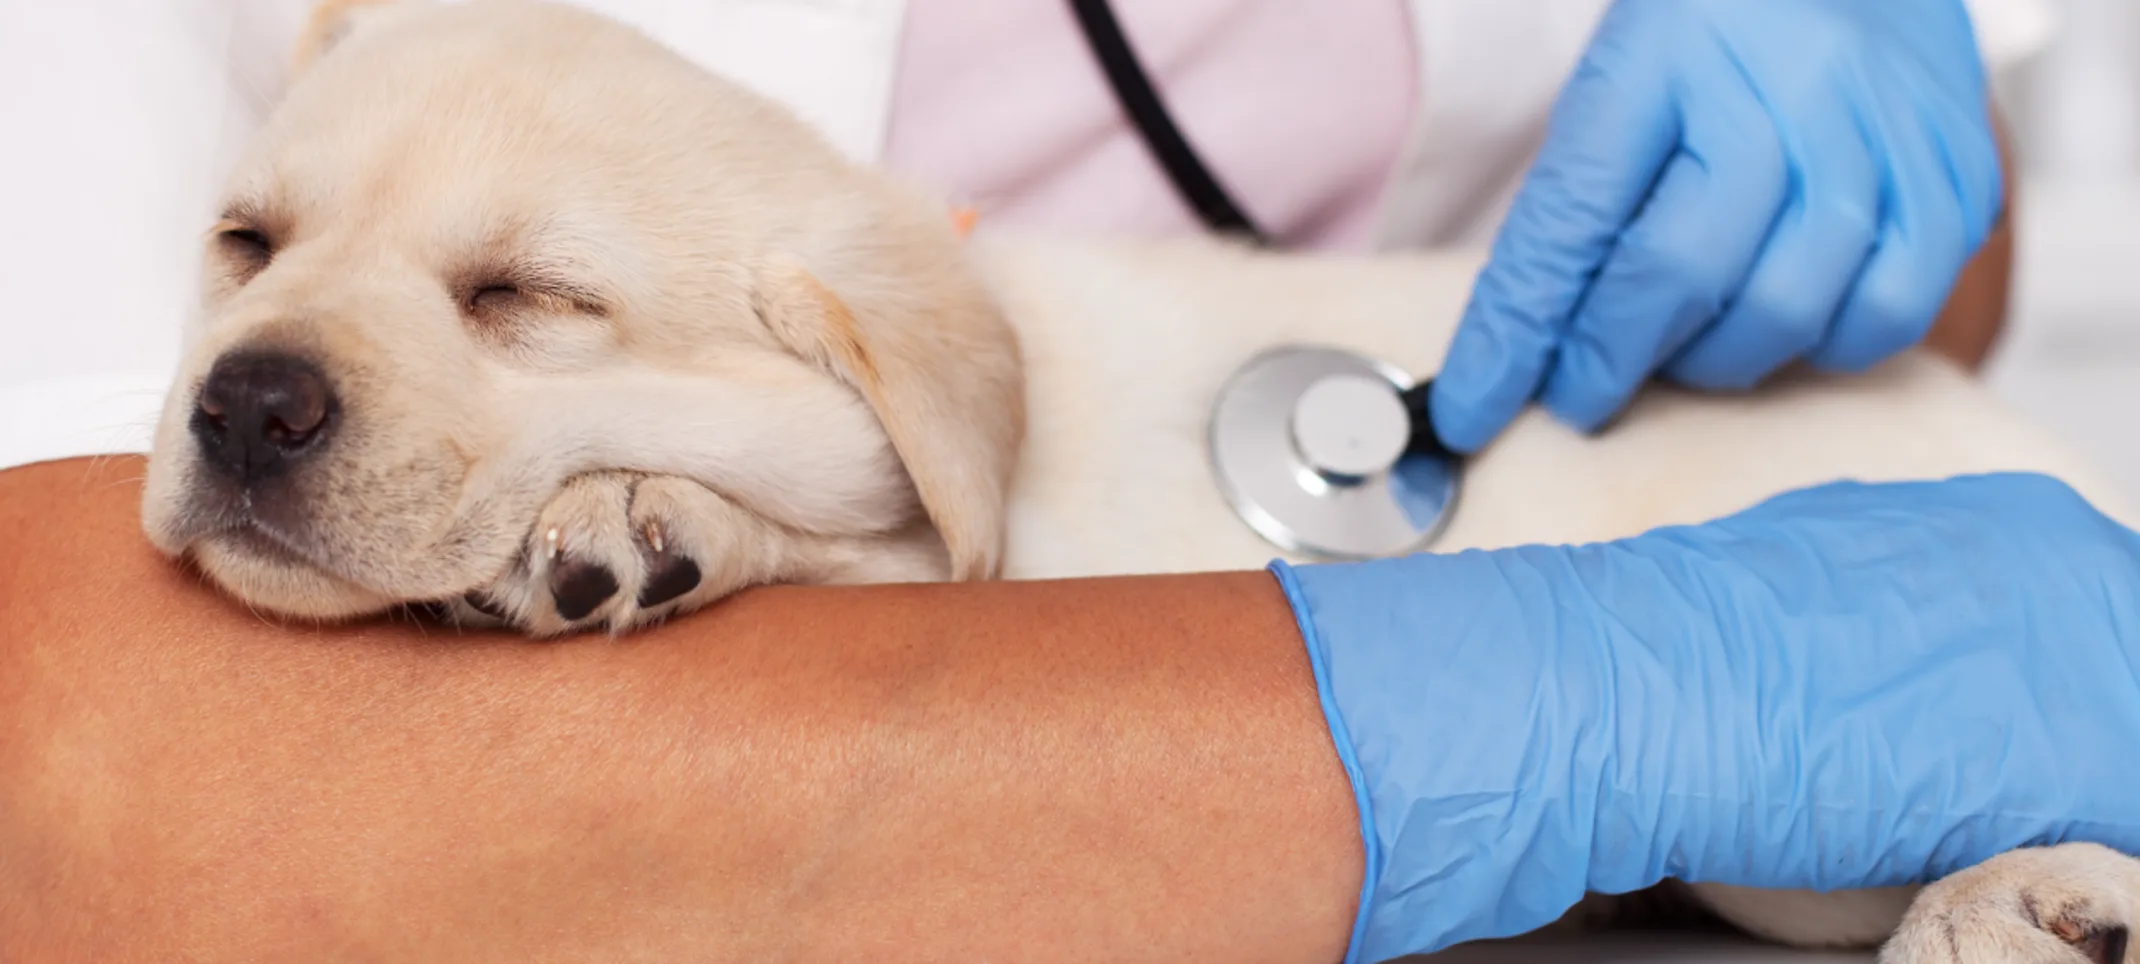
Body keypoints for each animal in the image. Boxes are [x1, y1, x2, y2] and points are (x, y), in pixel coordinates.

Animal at [142, 1, 2131, 964]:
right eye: (243, 245)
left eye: (528, 299)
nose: (243, 406)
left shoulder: (979, 546)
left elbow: (853, 540)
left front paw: (643, 513)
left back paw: (2029, 896)